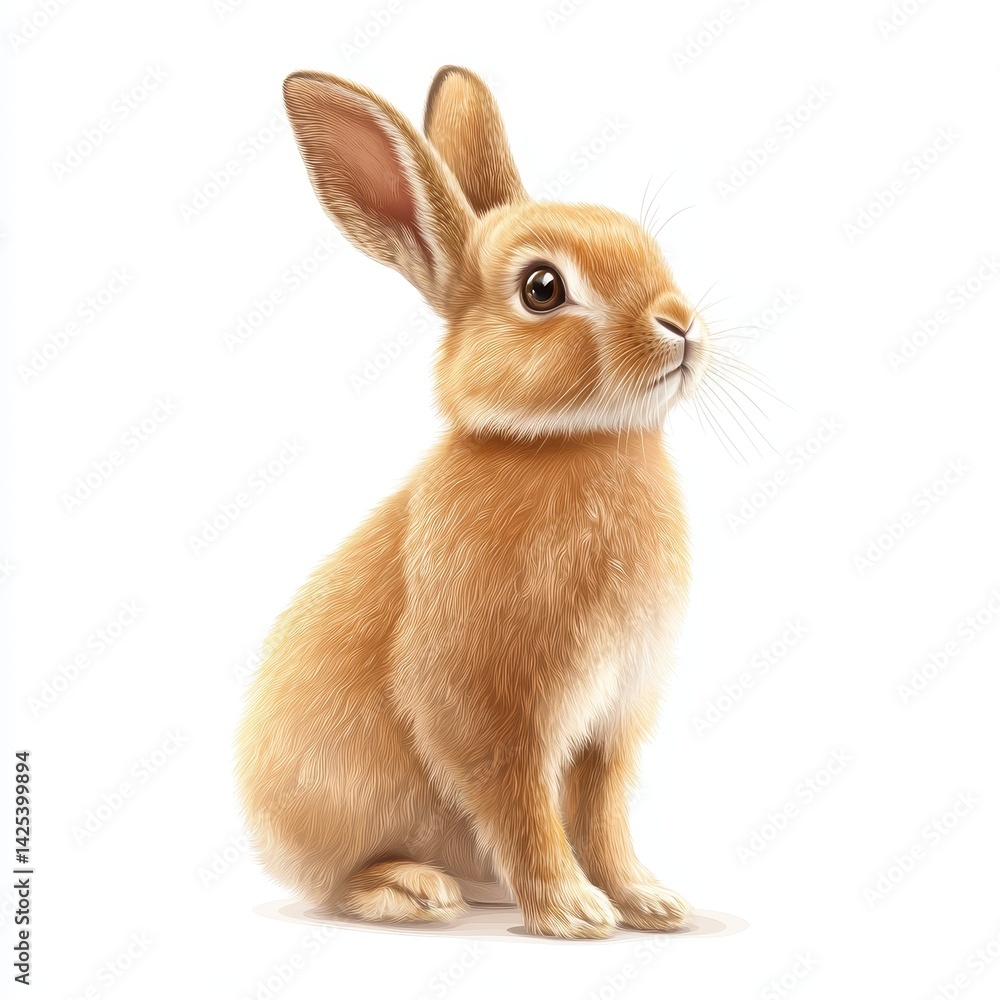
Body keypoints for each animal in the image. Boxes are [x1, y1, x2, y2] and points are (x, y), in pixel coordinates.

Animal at [236, 65, 717, 939]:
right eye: (542, 288)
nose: (681, 325)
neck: (564, 443)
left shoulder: (612, 721)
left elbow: (603, 813)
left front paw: (646, 901)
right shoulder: (489, 707)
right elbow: (521, 803)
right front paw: (572, 912)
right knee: (336, 883)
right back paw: (414, 890)